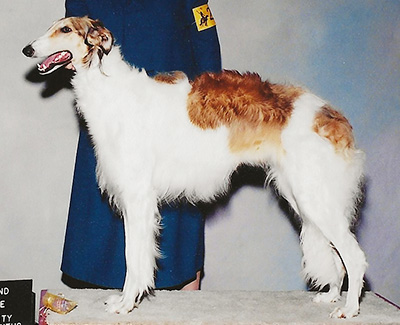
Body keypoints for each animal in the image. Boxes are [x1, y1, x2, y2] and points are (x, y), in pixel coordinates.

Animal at [21, 17, 366, 316]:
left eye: (65, 29)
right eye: (51, 27)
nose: (26, 49)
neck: (112, 89)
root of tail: (331, 115)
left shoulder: (138, 197)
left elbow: (133, 257)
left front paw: (126, 303)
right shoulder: (135, 199)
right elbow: (134, 255)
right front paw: (127, 300)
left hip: (313, 197)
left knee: (354, 256)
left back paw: (348, 309)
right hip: (304, 197)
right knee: (338, 257)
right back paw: (332, 297)